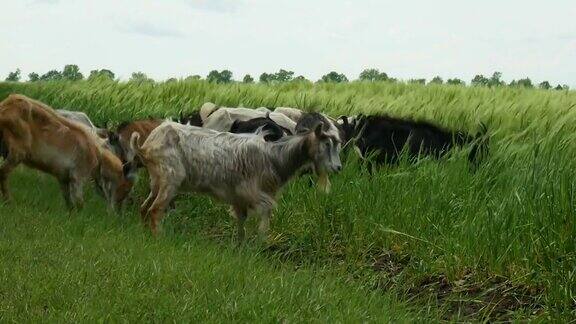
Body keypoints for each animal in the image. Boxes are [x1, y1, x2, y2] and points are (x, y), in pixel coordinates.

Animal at [0, 93, 133, 210]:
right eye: (124, 186)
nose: (120, 209)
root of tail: (6, 105)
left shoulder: (63, 177)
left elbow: (68, 201)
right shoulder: (77, 176)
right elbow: (79, 203)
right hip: (17, 152)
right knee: (3, 172)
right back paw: (9, 202)